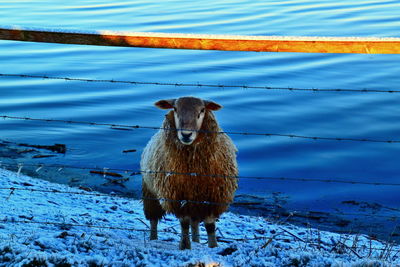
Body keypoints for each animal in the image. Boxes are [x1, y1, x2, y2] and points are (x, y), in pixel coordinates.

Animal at [141, 97, 238, 251]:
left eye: (202, 110)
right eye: (175, 109)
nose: (186, 134)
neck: (194, 171)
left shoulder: (212, 198)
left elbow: (210, 226)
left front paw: (213, 246)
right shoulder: (178, 198)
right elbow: (184, 224)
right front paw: (185, 246)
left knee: (195, 223)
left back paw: (196, 241)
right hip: (150, 194)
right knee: (154, 220)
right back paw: (153, 239)